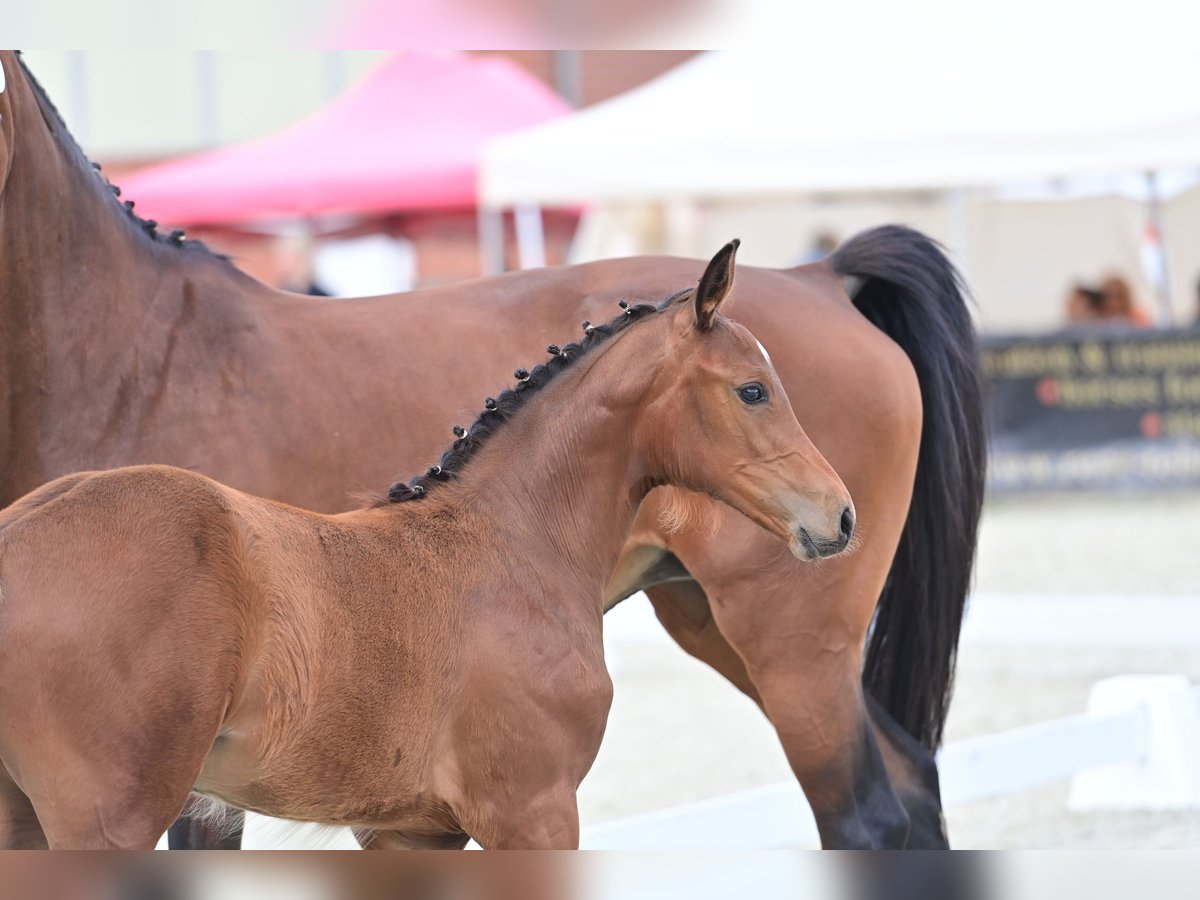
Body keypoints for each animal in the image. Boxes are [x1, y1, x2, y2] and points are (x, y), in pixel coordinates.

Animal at [0, 247, 854, 854]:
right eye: (753, 389)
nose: (840, 516)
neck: (512, 545)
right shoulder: (532, 810)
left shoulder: (409, 830)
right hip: (106, 820)